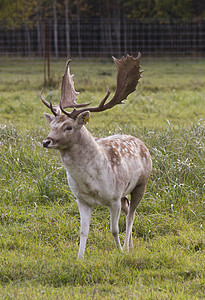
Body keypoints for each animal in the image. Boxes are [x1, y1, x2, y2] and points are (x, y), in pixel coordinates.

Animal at [40, 53, 152, 258]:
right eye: (51, 125)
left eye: (68, 127)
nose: (46, 141)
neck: (90, 183)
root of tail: (141, 143)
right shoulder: (81, 199)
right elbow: (83, 230)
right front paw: (79, 258)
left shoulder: (114, 197)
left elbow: (113, 229)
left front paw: (119, 252)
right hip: (125, 193)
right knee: (128, 210)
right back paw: (131, 246)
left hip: (141, 183)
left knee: (132, 215)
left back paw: (127, 247)